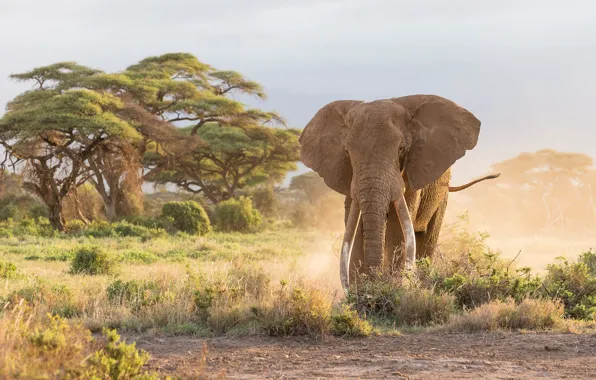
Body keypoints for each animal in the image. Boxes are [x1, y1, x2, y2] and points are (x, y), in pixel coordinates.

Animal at [300, 95, 496, 290]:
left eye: (401, 149)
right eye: (347, 152)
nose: (373, 281)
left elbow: (397, 229)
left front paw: (391, 287)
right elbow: (354, 227)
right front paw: (360, 292)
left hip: (442, 192)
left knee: (428, 238)